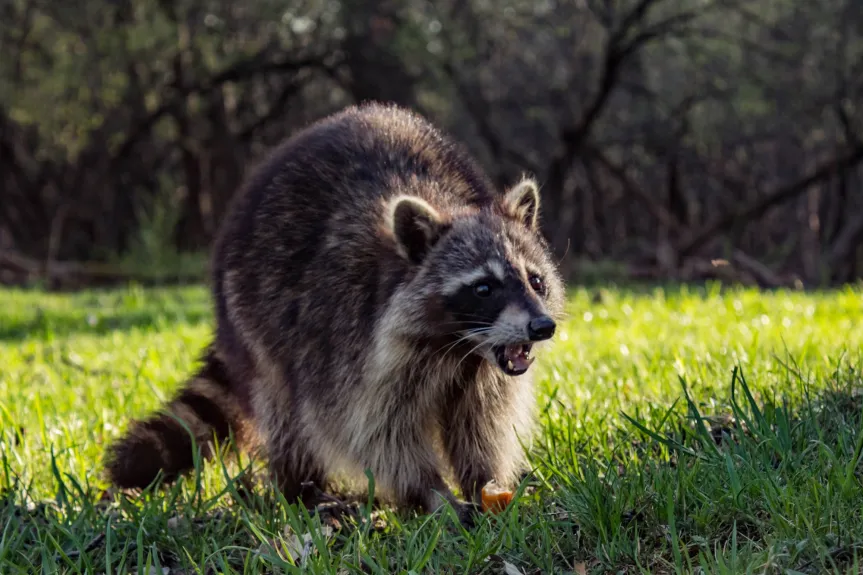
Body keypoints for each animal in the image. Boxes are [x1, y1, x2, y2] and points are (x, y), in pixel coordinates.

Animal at [106, 101, 568, 524]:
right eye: (484, 288)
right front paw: (429, 492)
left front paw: (485, 480)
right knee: (286, 409)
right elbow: (375, 431)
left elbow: (482, 423)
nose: (541, 326)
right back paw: (300, 487)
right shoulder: (349, 342)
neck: (459, 347)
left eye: (536, 281)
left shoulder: (482, 373)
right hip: (250, 311)